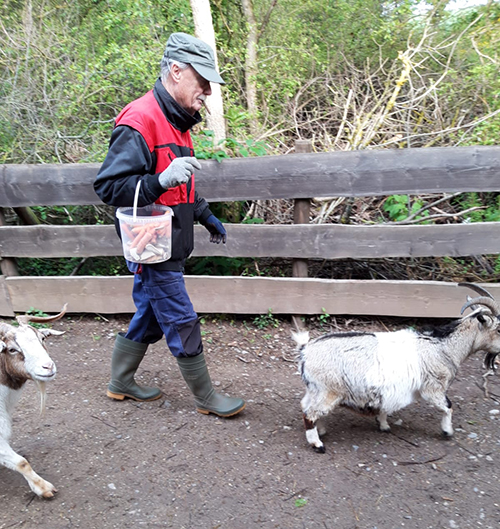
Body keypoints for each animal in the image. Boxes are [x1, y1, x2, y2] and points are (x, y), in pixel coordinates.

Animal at [292, 282, 500, 452]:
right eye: (498, 328)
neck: (443, 346)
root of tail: (305, 350)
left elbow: (384, 407)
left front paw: (383, 424)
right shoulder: (433, 387)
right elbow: (448, 406)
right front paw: (447, 432)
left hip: (315, 389)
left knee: (305, 405)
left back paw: (322, 430)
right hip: (329, 390)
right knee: (310, 413)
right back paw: (317, 444)